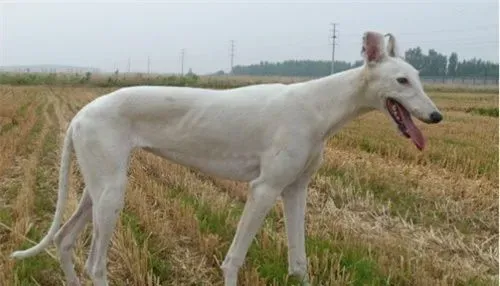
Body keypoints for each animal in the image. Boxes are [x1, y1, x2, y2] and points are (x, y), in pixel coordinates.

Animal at [10, 31, 442, 286]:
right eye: (402, 80)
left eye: (420, 77)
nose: (437, 116)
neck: (318, 105)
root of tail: (79, 115)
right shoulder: (264, 189)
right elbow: (234, 259)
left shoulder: (295, 191)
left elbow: (299, 261)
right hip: (112, 194)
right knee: (95, 265)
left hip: (98, 189)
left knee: (64, 240)